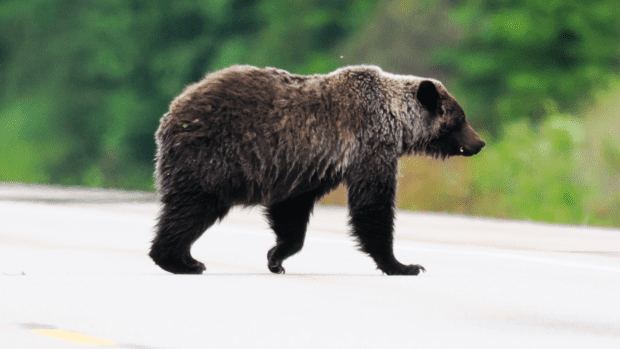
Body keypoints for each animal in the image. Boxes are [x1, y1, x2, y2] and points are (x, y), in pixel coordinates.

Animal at [149, 63, 484, 274]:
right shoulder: (368, 145)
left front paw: (276, 257)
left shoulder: (309, 165)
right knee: (192, 208)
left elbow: (291, 211)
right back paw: (180, 261)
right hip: (213, 156)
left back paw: (184, 258)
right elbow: (372, 206)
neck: (396, 121)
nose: (479, 142)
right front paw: (403, 265)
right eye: (461, 118)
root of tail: (171, 111)